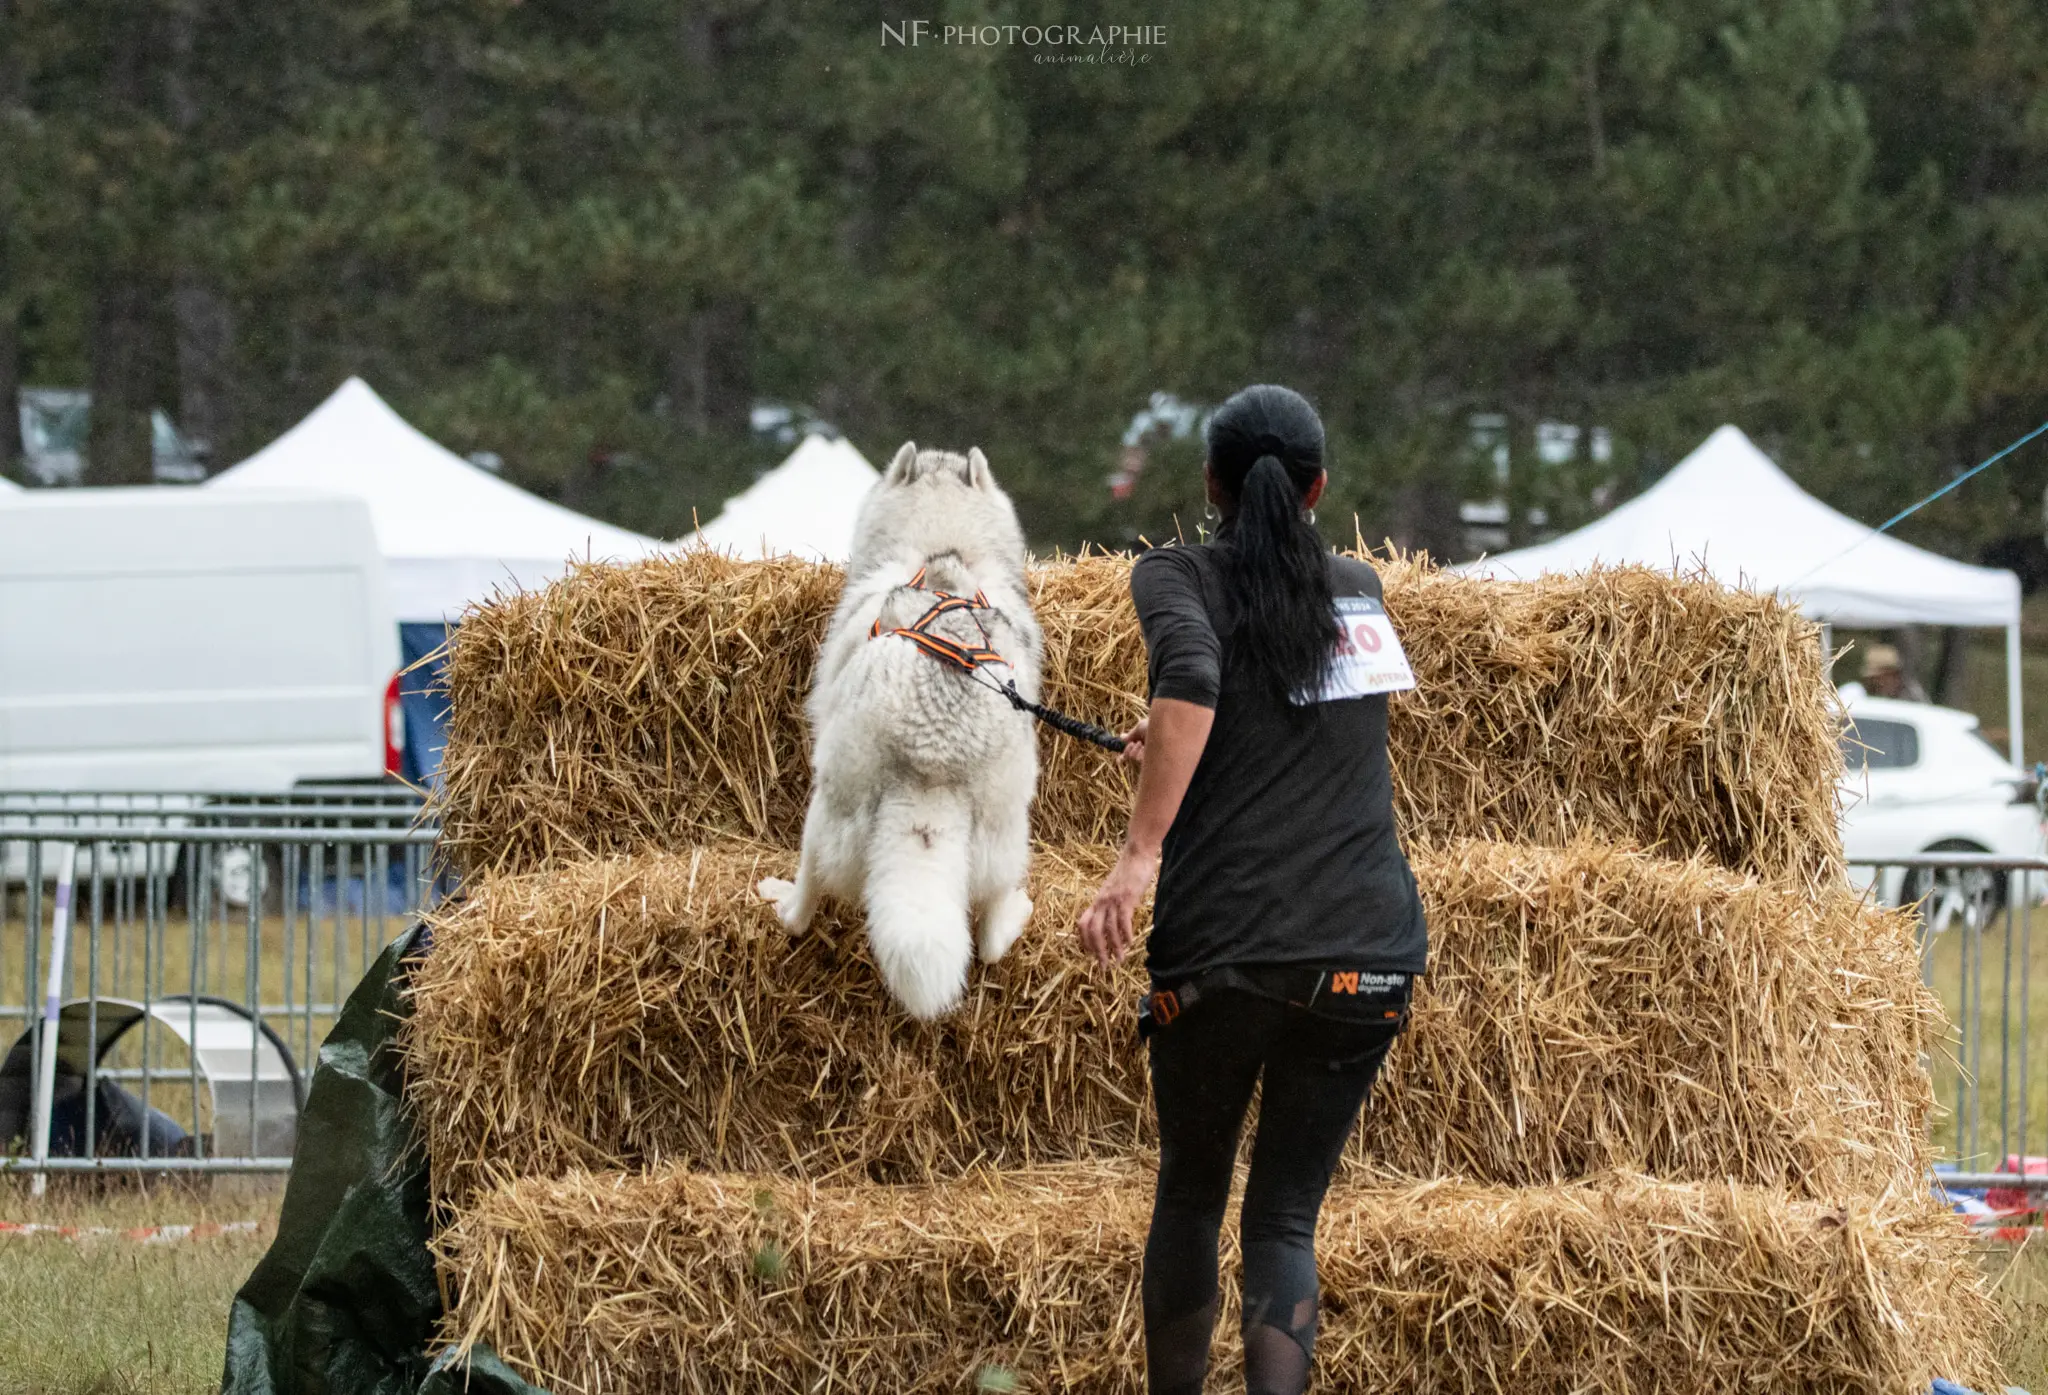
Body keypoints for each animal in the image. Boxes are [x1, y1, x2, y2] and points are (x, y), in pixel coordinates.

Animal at [757, 440, 1048, 1016]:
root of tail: (932, 753)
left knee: (807, 900)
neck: (943, 552)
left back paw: (782, 903)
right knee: (988, 941)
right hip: (1006, 833)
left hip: (824, 813)